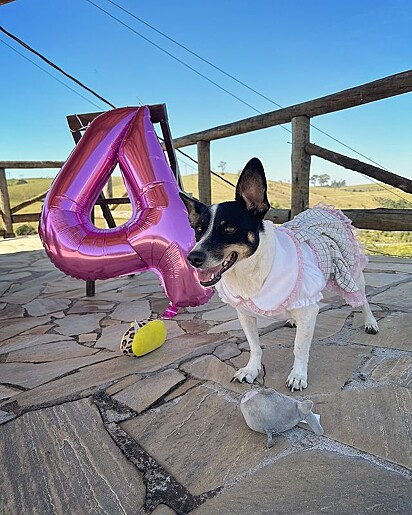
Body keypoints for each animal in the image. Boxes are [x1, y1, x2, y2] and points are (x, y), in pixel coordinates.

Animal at [179, 157, 378, 392]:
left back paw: (371, 322)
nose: (193, 257)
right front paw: (251, 369)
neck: (249, 272)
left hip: (353, 273)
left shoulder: (309, 311)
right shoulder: (244, 314)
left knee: (363, 299)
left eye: (229, 229)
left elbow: (299, 347)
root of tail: (327, 210)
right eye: (198, 230)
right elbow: (254, 345)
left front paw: (298, 375)